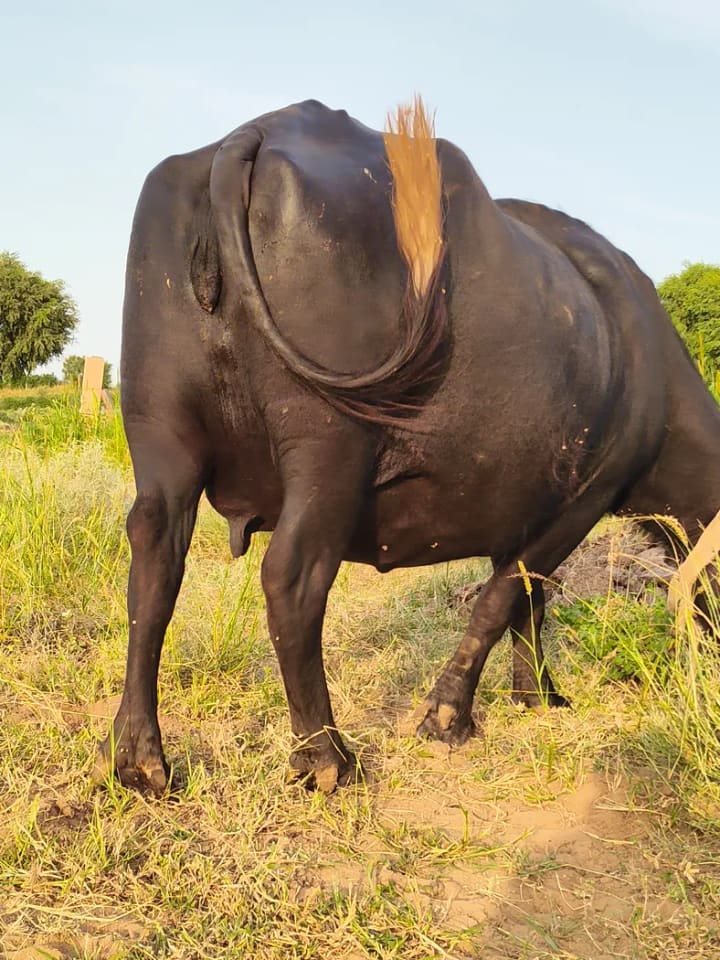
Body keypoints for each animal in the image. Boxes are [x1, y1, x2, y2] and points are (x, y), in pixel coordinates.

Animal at [96, 98, 720, 795]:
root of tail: (253, 133)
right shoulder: (587, 494)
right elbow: (505, 599)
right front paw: (449, 717)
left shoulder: (526, 506)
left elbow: (529, 602)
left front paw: (537, 695)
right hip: (328, 450)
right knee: (291, 578)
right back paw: (328, 758)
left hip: (161, 438)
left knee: (154, 564)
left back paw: (139, 757)